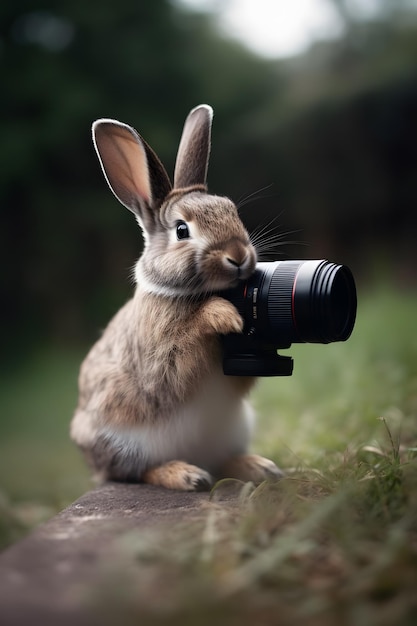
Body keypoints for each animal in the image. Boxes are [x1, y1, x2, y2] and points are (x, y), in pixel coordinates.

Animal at [70, 105, 282, 490]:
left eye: (231, 210)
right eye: (182, 230)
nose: (238, 255)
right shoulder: (159, 362)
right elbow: (177, 367)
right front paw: (224, 316)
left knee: (223, 460)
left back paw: (257, 467)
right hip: (120, 443)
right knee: (135, 472)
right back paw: (185, 474)